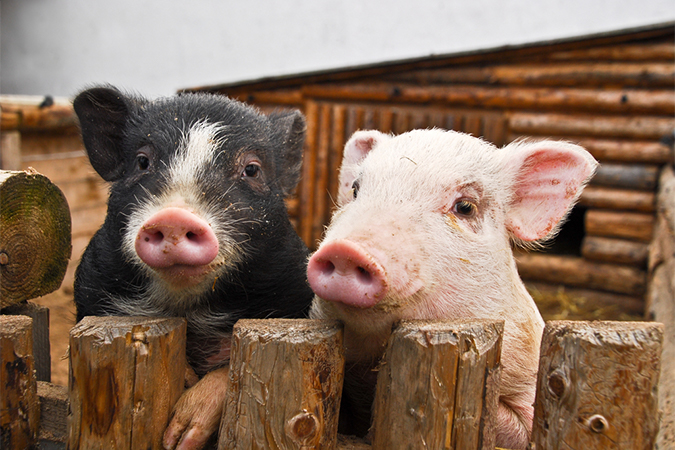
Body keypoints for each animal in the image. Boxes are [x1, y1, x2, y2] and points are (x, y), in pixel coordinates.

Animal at [72, 86, 316, 448]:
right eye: (142, 161)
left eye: (252, 169)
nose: (175, 216)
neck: (186, 304)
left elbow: (228, 373)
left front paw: (180, 439)